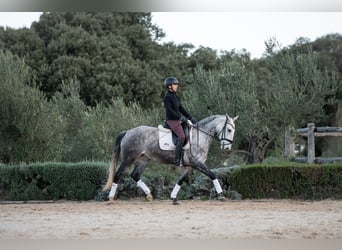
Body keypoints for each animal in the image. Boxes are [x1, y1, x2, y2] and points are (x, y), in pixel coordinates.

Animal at [104, 114, 238, 204]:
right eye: (229, 130)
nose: (227, 148)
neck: (200, 135)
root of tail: (127, 132)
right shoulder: (197, 163)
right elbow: (213, 175)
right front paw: (221, 195)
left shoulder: (188, 166)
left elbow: (180, 181)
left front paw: (173, 198)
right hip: (128, 159)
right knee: (118, 175)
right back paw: (111, 198)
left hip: (143, 160)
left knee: (135, 175)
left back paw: (149, 195)